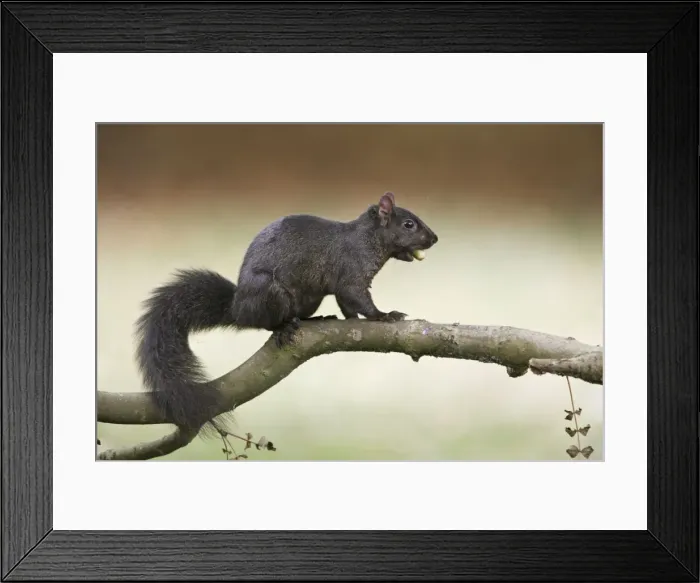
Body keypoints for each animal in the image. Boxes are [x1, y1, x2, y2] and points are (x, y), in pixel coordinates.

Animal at [134, 191, 438, 436]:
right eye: (409, 224)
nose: (435, 239)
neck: (366, 239)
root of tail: (238, 308)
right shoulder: (351, 273)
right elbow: (357, 300)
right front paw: (384, 315)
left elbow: (349, 307)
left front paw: (357, 318)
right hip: (271, 294)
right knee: (266, 324)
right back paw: (284, 328)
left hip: (309, 299)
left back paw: (314, 319)